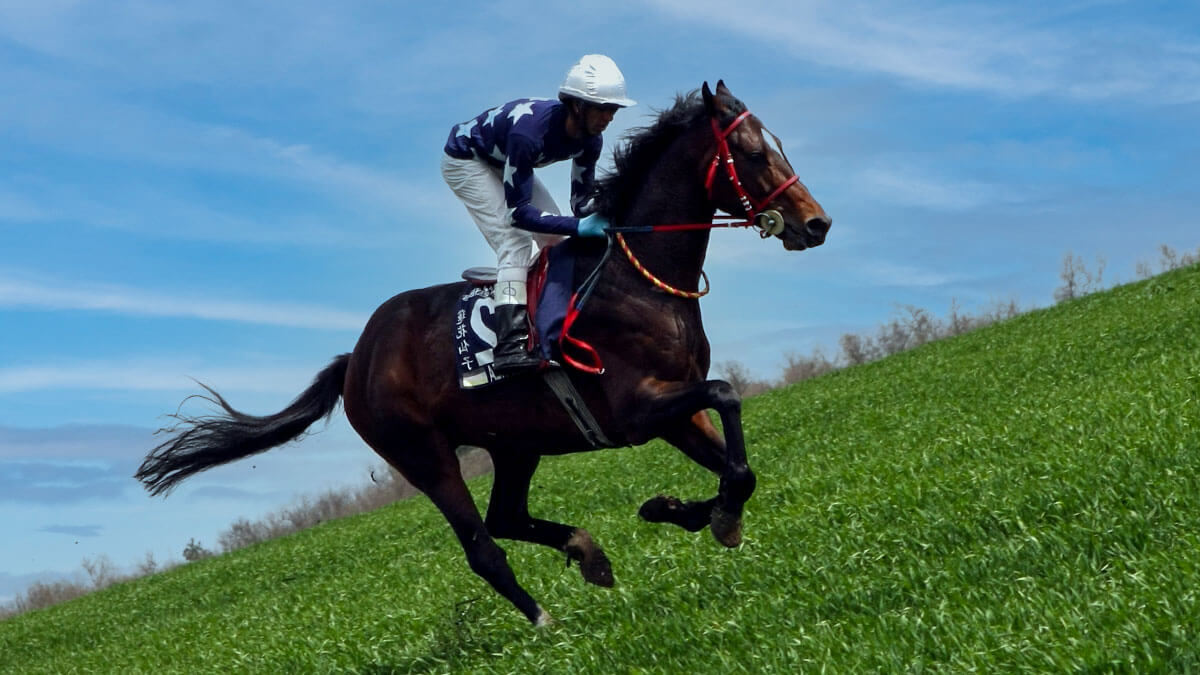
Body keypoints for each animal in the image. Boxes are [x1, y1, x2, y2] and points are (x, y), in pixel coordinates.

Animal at [136, 79, 830, 624]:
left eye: (777, 144)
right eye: (751, 153)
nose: (816, 223)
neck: (635, 277)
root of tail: (356, 358)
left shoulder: (674, 410)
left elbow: (737, 465)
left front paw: (683, 510)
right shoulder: (636, 411)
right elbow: (728, 398)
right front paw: (707, 514)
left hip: (515, 442)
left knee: (505, 518)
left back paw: (588, 553)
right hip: (423, 453)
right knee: (482, 545)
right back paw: (544, 621)